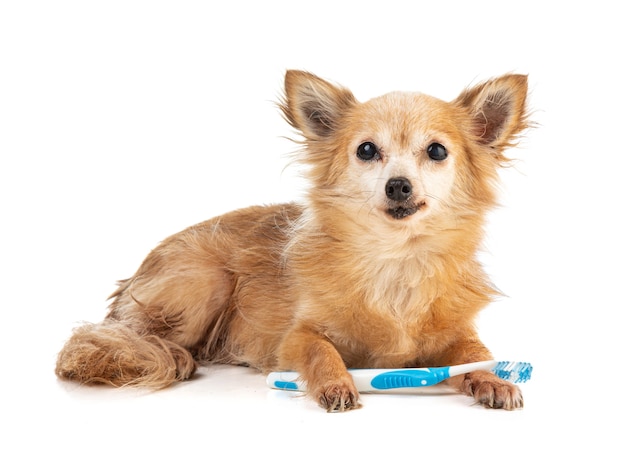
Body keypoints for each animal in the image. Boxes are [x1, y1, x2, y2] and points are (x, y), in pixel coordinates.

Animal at [57, 69, 528, 410]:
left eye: (436, 152)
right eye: (366, 150)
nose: (398, 185)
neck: (395, 259)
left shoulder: (456, 334)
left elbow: (475, 351)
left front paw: (491, 378)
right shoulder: (296, 338)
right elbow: (321, 351)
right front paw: (336, 384)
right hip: (206, 281)